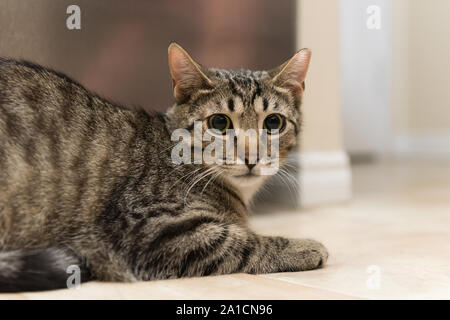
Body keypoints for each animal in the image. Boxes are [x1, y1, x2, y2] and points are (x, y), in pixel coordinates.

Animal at [0, 43, 326, 292]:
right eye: (219, 122)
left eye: (274, 122)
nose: (251, 155)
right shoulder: (149, 229)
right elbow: (242, 242)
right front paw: (302, 247)